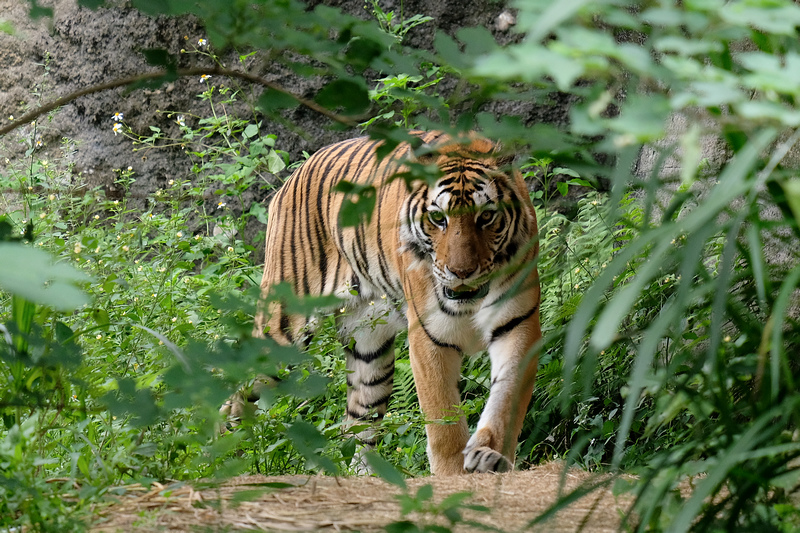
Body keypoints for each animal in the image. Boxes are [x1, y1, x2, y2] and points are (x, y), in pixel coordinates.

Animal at [241, 129, 536, 474]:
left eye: (486, 216)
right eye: (438, 218)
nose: (461, 272)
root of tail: (293, 175)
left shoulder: (517, 326)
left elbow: (506, 401)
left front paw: (490, 454)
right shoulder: (429, 338)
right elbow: (443, 423)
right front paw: (451, 475)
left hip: (371, 354)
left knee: (357, 425)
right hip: (282, 331)